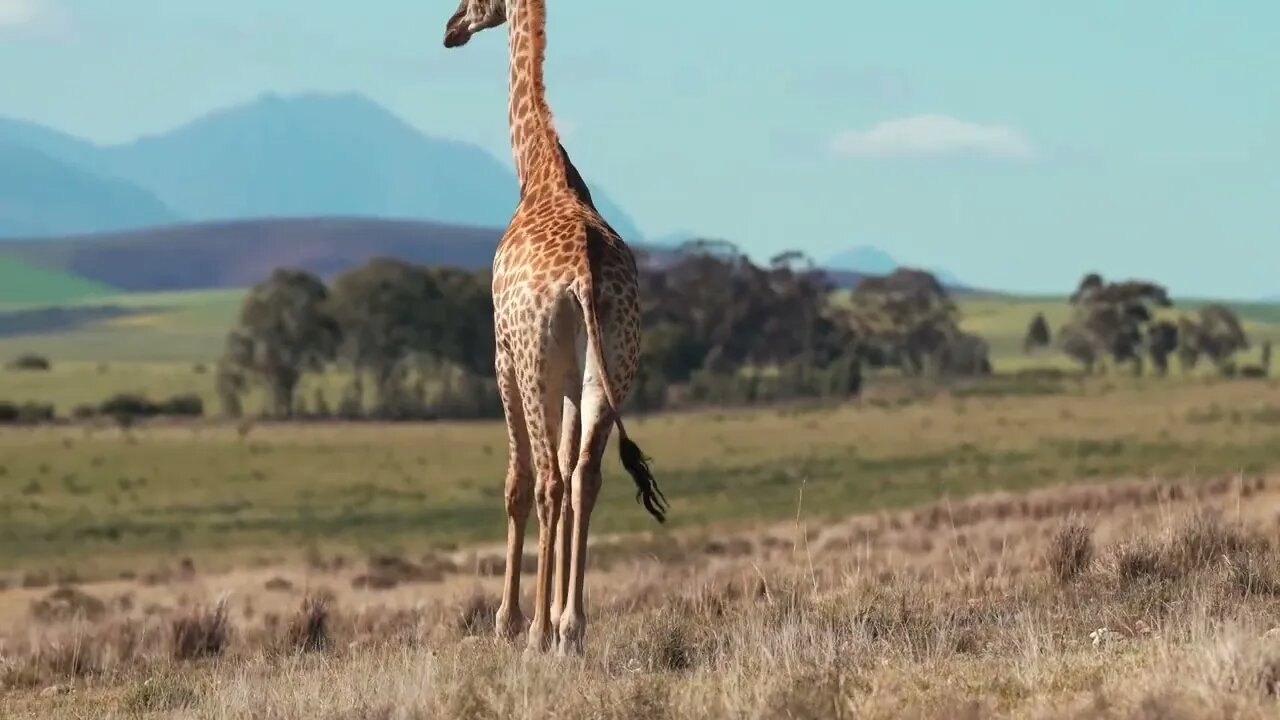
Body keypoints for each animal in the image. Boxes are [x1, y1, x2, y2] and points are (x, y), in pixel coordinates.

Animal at [442, 0, 670, 650]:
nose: (451, 28)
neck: (542, 171)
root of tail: (586, 281)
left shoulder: (501, 354)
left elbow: (519, 483)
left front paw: (508, 620)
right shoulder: (574, 381)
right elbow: (573, 477)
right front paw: (560, 616)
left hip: (534, 366)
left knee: (544, 480)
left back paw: (541, 632)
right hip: (611, 373)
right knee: (585, 477)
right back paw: (572, 627)